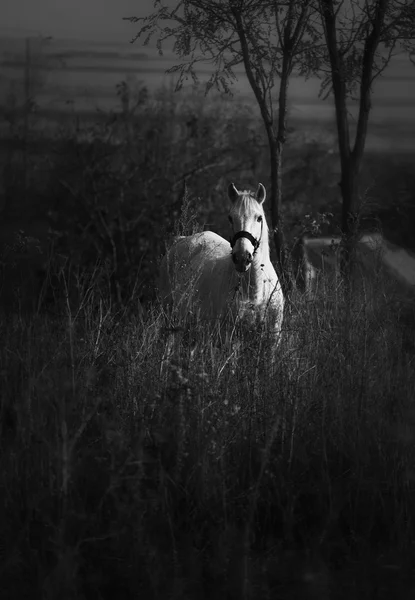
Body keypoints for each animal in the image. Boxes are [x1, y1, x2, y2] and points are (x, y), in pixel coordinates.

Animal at [159, 180, 286, 364]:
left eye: (259, 218)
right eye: (230, 218)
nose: (242, 258)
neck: (255, 293)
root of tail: (180, 241)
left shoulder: (271, 342)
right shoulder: (231, 340)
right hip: (170, 316)